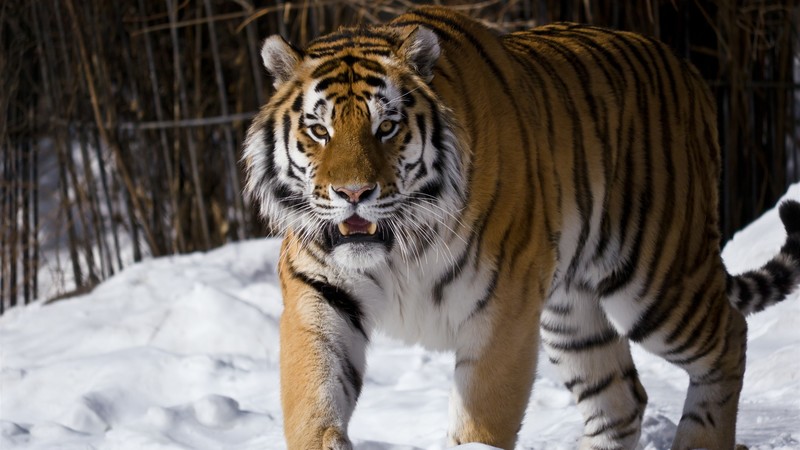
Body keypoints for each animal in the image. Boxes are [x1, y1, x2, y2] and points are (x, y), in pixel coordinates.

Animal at [242, 6, 800, 449]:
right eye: (319, 130)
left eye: (387, 127)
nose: (353, 194)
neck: (400, 246)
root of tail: (691, 72)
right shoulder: (320, 292)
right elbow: (314, 399)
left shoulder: (503, 305)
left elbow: (482, 418)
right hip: (571, 313)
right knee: (621, 398)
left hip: (656, 279)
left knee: (730, 336)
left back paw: (699, 440)